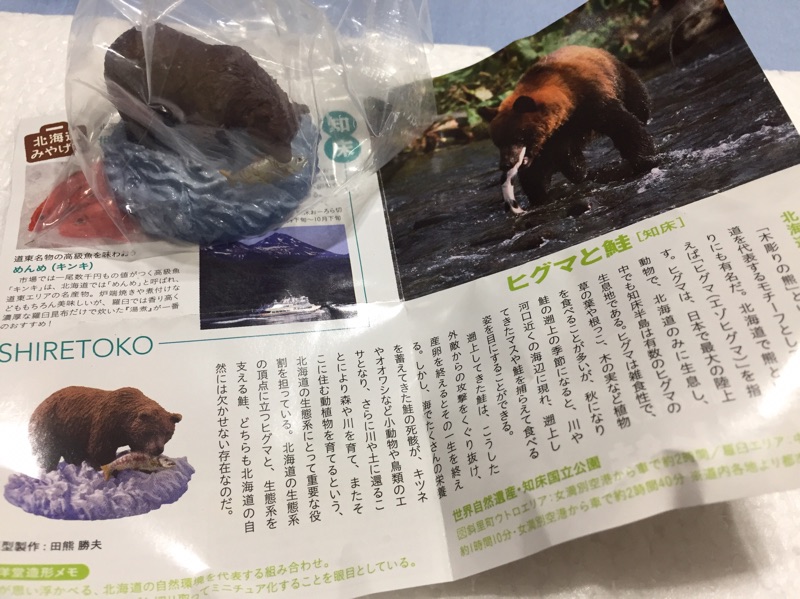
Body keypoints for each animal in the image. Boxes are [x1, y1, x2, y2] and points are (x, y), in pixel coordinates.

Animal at [28, 386, 182, 472]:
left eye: (167, 432)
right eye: (151, 432)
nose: (158, 449)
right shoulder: (106, 423)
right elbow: (100, 451)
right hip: (51, 425)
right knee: (48, 453)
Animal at [480, 45, 657, 214]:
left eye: (518, 137)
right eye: (498, 142)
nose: (506, 164)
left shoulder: (593, 102)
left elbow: (624, 126)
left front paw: (645, 159)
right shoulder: (555, 136)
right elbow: (546, 166)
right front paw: (542, 194)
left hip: (619, 77)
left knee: (638, 101)